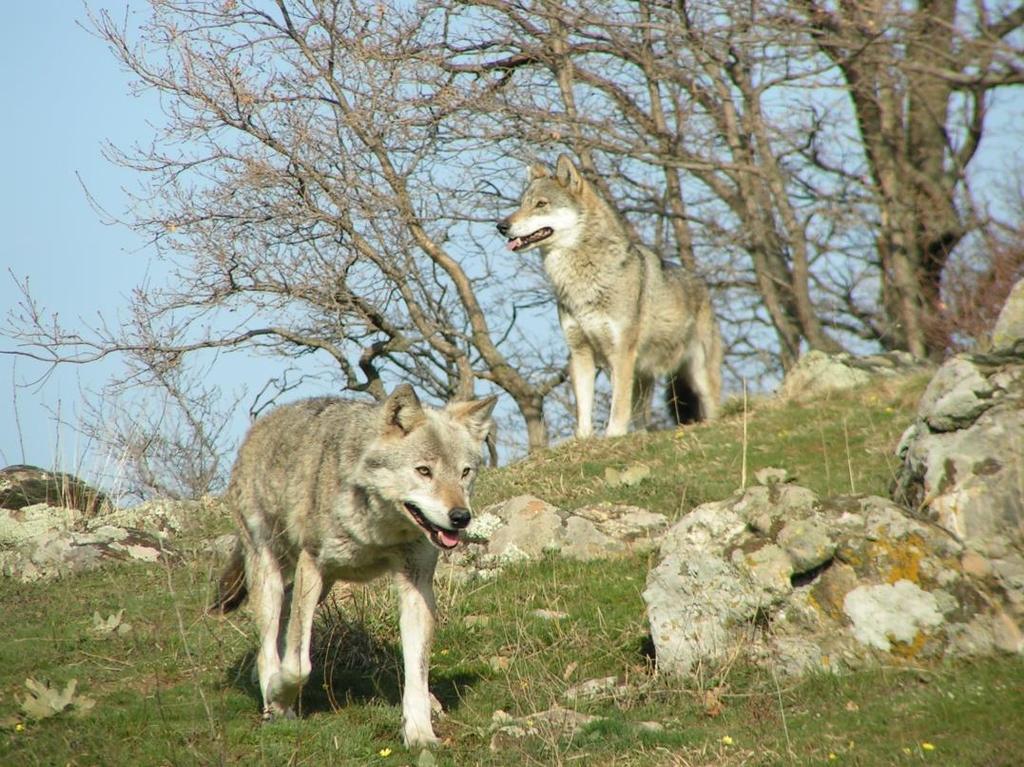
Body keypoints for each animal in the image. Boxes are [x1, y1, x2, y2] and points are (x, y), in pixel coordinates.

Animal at [210, 385, 495, 745]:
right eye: (424, 471)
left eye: (464, 472)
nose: (460, 517)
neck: (378, 529)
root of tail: (263, 423)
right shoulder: (313, 565)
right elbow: (299, 667)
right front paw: (278, 696)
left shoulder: (416, 584)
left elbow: (417, 673)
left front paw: (419, 733)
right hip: (272, 571)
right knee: (269, 646)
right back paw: (273, 702)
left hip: (321, 584)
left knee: (285, 620)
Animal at [495, 153, 720, 436]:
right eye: (521, 204)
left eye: (541, 204)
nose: (501, 226)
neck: (583, 280)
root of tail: (702, 282)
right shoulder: (579, 354)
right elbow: (584, 410)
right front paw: (584, 440)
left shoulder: (620, 354)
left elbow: (618, 407)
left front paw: (613, 436)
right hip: (644, 377)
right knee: (642, 417)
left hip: (697, 371)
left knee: (712, 403)